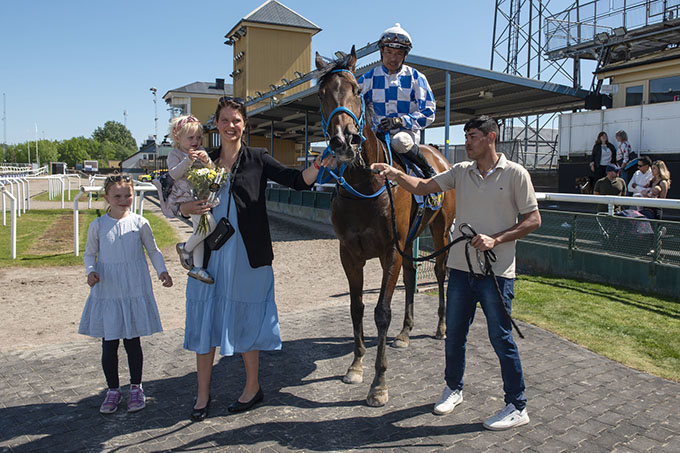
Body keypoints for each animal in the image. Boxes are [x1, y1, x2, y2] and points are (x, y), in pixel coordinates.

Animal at [314, 46, 454, 406]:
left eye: (356, 90)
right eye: (322, 94)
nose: (343, 141)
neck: (365, 183)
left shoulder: (390, 249)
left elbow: (381, 312)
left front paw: (379, 383)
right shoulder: (349, 253)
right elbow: (356, 308)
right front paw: (356, 366)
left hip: (440, 229)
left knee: (441, 273)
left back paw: (441, 327)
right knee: (411, 274)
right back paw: (404, 333)